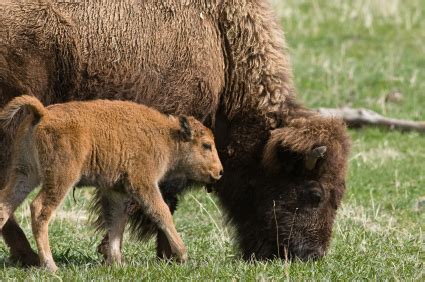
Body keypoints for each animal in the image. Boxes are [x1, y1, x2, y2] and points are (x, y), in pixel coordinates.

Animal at [0, 96, 224, 272]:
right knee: (39, 210)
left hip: (25, 174)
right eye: (206, 145)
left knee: (5, 205)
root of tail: (43, 113)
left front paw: (116, 263)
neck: (166, 135)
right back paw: (51, 266)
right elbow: (161, 213)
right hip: (60, 178)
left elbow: (116, 222)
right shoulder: (143, 184)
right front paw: (182, 254)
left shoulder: (116, 191)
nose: (219, 172)